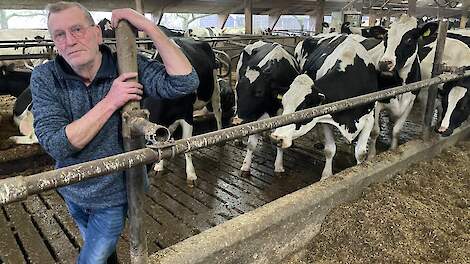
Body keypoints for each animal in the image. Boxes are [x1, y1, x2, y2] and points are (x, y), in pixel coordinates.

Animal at [145, 37, 222, 187]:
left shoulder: (187, 115)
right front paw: (159, 166)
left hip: (215, 85)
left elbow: (188, 145)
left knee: (218, 111)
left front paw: (191, 175)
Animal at [232, 40, 302, 176]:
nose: (238, 121)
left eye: (259, 92)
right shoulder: (257, 115)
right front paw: (245, 167)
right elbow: (251, 144)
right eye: (238, 89)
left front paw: (279, 167)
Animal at [272, 34, 378, 179]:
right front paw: (326, 176)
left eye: (304, 107)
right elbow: (330, 149)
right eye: (284, 103)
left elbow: (361, 153)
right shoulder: (326, 117)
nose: (276, 138)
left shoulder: (369, 118)